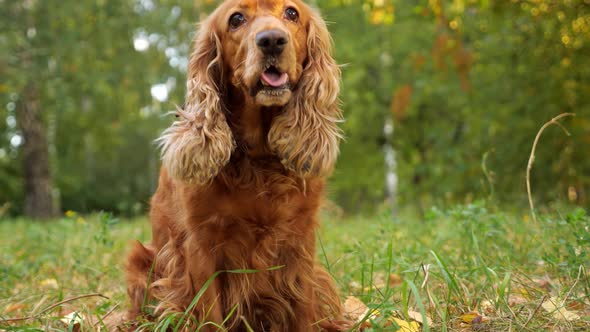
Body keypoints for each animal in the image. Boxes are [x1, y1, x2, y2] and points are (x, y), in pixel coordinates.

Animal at [126, 1, 350, 330]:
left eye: (292, 13)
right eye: (236, 19)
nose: (272, 40)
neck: (258, 157)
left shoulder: (299, 241)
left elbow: (303, 310)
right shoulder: (200, 246)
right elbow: (209, 315)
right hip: (140, 261)